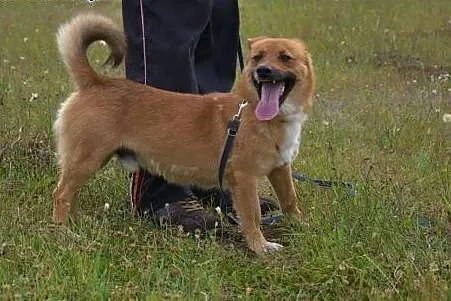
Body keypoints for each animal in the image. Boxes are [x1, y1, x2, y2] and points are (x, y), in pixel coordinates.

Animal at [53, 12, 314, 254]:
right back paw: (64, 232)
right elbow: (252, 216)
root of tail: (96, 81)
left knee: (70, 194)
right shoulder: (245, 179)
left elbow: (290, 200)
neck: (254, 111)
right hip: (87, 159)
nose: (264, 71)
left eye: (286, 58)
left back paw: (77, 221)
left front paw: (301, 226)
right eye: (257, 57)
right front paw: (260, 246)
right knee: (62, 194)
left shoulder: (281, 169)